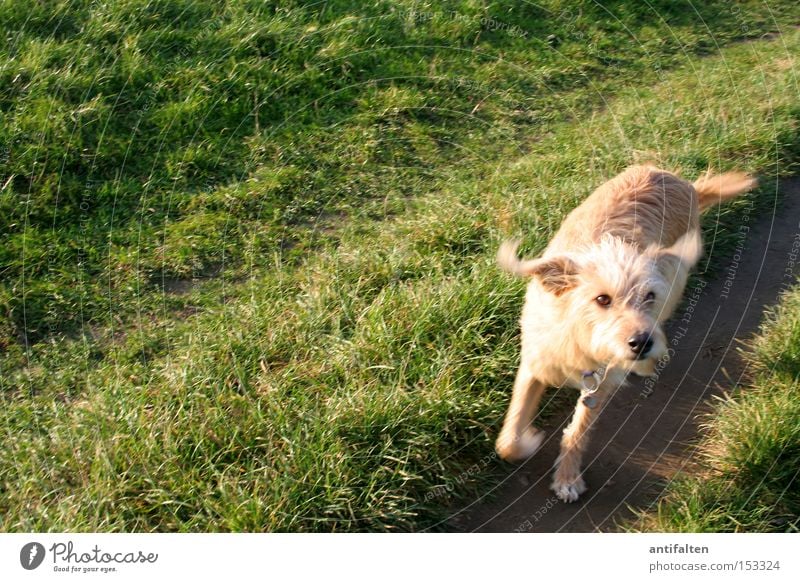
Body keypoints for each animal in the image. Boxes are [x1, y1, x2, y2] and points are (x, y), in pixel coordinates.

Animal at [496, 167, 760, 504]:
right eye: (602, 299)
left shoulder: (602, 382)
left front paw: (567, 477)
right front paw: (527, 440)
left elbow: (579, 430)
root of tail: (679, 181)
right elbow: (509, 436)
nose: (642, 343)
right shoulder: (535, 363)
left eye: (649, 296)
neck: (579, 336)